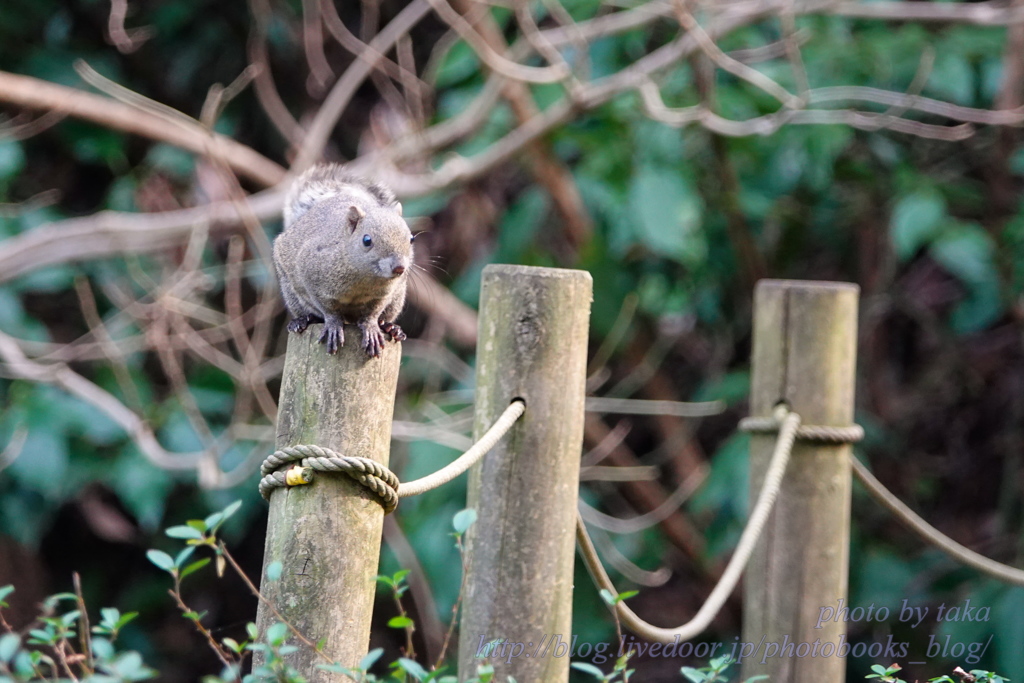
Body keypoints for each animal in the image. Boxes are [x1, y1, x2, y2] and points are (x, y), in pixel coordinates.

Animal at [276, 164, 415, 358]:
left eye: (411, 239)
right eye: (366, 240)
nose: (399, 268)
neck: (365, 277)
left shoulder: (385, 294)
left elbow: (373, 312)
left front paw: (371, 327)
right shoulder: (312, 271)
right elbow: (328, 308)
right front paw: (334, 325)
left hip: (397, 299)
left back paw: (391, 328)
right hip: (291, 291)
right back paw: (302, 321)